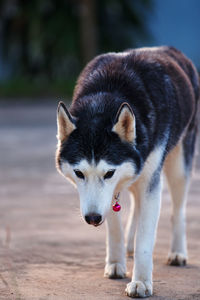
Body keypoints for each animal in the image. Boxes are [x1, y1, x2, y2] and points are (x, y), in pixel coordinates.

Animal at [55, 47, 199, 298]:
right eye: (79, 173)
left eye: (108, 173)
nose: (92, 219)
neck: (106, 97)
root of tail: (172, 50)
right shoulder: (111, 191)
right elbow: (115, 227)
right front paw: (115, 263)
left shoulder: (146, 181)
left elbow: (145, 239)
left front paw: (141, 282)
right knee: (136, 203)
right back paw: (128, 245)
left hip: (179, 165)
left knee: (178, 210)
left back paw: (178, 252)